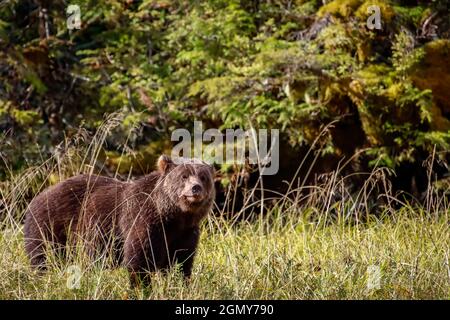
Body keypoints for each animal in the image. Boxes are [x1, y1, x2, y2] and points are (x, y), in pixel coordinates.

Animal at [22, 155, 216, 284]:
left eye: (203, 177)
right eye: (184, 176)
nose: (195, 188)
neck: (174, 216)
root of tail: (39, 196)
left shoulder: (186, 232)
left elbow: (181, 261)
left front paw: (178, 284)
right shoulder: (143, 220)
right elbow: (139, 258)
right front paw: (141, 287)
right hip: (52, 224)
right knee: (43, 257)